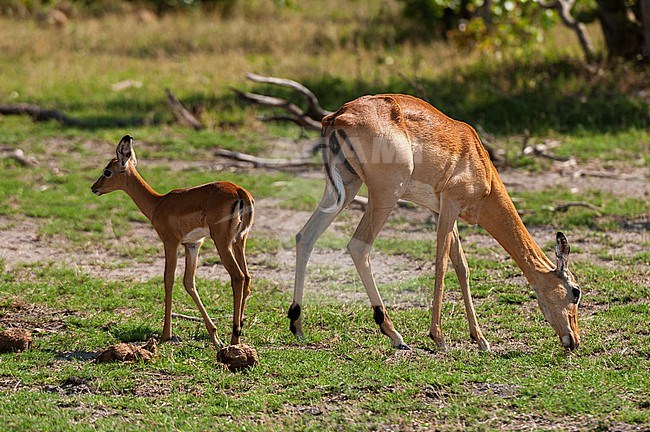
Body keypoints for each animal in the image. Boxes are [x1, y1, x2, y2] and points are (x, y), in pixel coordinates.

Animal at [91, 135, 253, 348]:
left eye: (107, 171)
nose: (94, 188)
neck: (158, 203)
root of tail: (240, 191)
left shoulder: (170, 242)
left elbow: (168, 279)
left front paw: (165, 335)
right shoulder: (193, 244)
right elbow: (188, 282)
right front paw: (214, 335)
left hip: (222, 243)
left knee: (238, 277)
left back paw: (234, 339)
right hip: (239, 241)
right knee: (247, 277)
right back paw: (239, 329)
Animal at [286, 94, 580, 352]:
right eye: (575, 292)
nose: (574, 340)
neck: (478, 161)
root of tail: (338, 115)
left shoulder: (442, 211)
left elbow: (462, 267)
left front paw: (481, 340)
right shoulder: (450, 205)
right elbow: (442, 265)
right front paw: (438, 337)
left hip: (343, 190)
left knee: (305, 236)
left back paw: (297, 324)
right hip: (385, 196)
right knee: (358, 246)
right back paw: (394, 334)